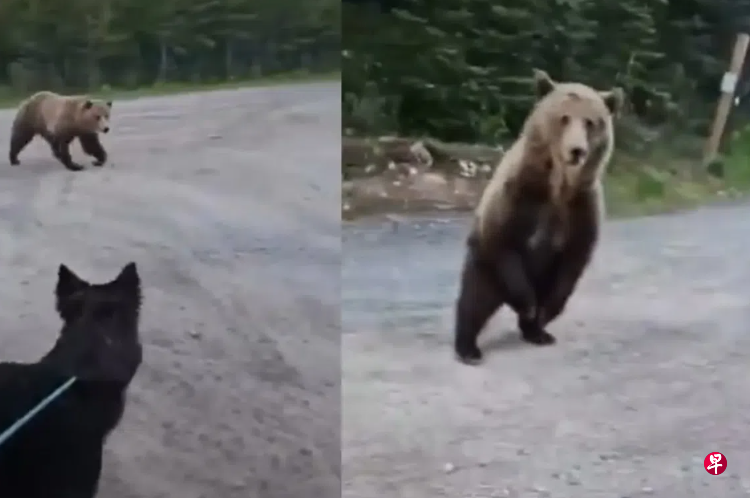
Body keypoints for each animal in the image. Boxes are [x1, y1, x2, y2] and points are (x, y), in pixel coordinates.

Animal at [453, 68, 624, 365]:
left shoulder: (581, 207)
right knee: (473, 302)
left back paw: (537, 332)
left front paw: (542, 314)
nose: (576, 150)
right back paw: (469, 348)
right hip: (485, 269)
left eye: (591, 122)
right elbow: (504, 241)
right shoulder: (519, 194)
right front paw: (529, 304)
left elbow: (574, 260)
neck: (558, 185)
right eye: (564, 117)